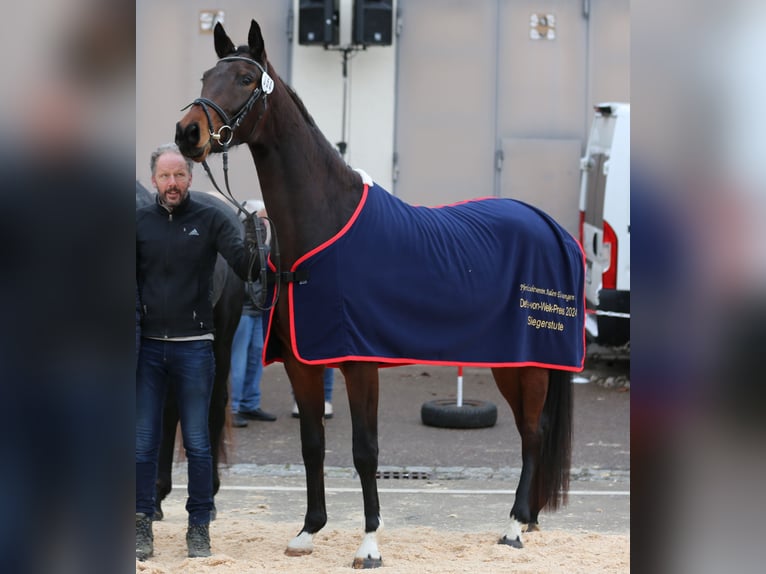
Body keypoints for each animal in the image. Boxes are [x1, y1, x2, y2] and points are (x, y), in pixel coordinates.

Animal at [172, 20, 584, 568]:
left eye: (243, 78)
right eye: (206, 75)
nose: (187, 133)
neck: (323, 226)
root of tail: (549, 225)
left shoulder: (360, 365)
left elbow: (364, 451)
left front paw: (369, 545)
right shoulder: (305, 363)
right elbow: (312, 445)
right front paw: (308, 531)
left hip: (532, 363)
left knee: (533, 433)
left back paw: (515, 526)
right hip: (510, 363)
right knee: (526, 432)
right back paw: (530, 519)